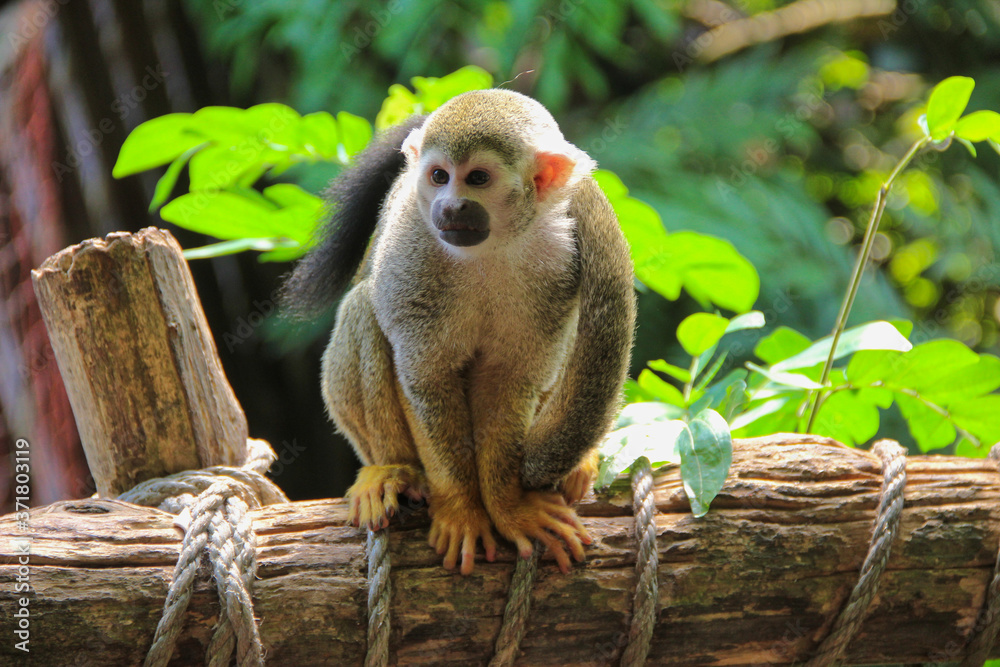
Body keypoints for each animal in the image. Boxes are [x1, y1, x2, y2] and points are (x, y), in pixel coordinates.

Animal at [283, 89, 636, 574]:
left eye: (478, 178)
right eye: (439, 176)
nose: (450, 206)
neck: (491, 247)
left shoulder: (559, 258)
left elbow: (509, 380)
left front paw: (509, 504)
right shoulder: (411, 248)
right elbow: (425, 375)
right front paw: (462, 509)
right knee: (364, 309)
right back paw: (394, 471)